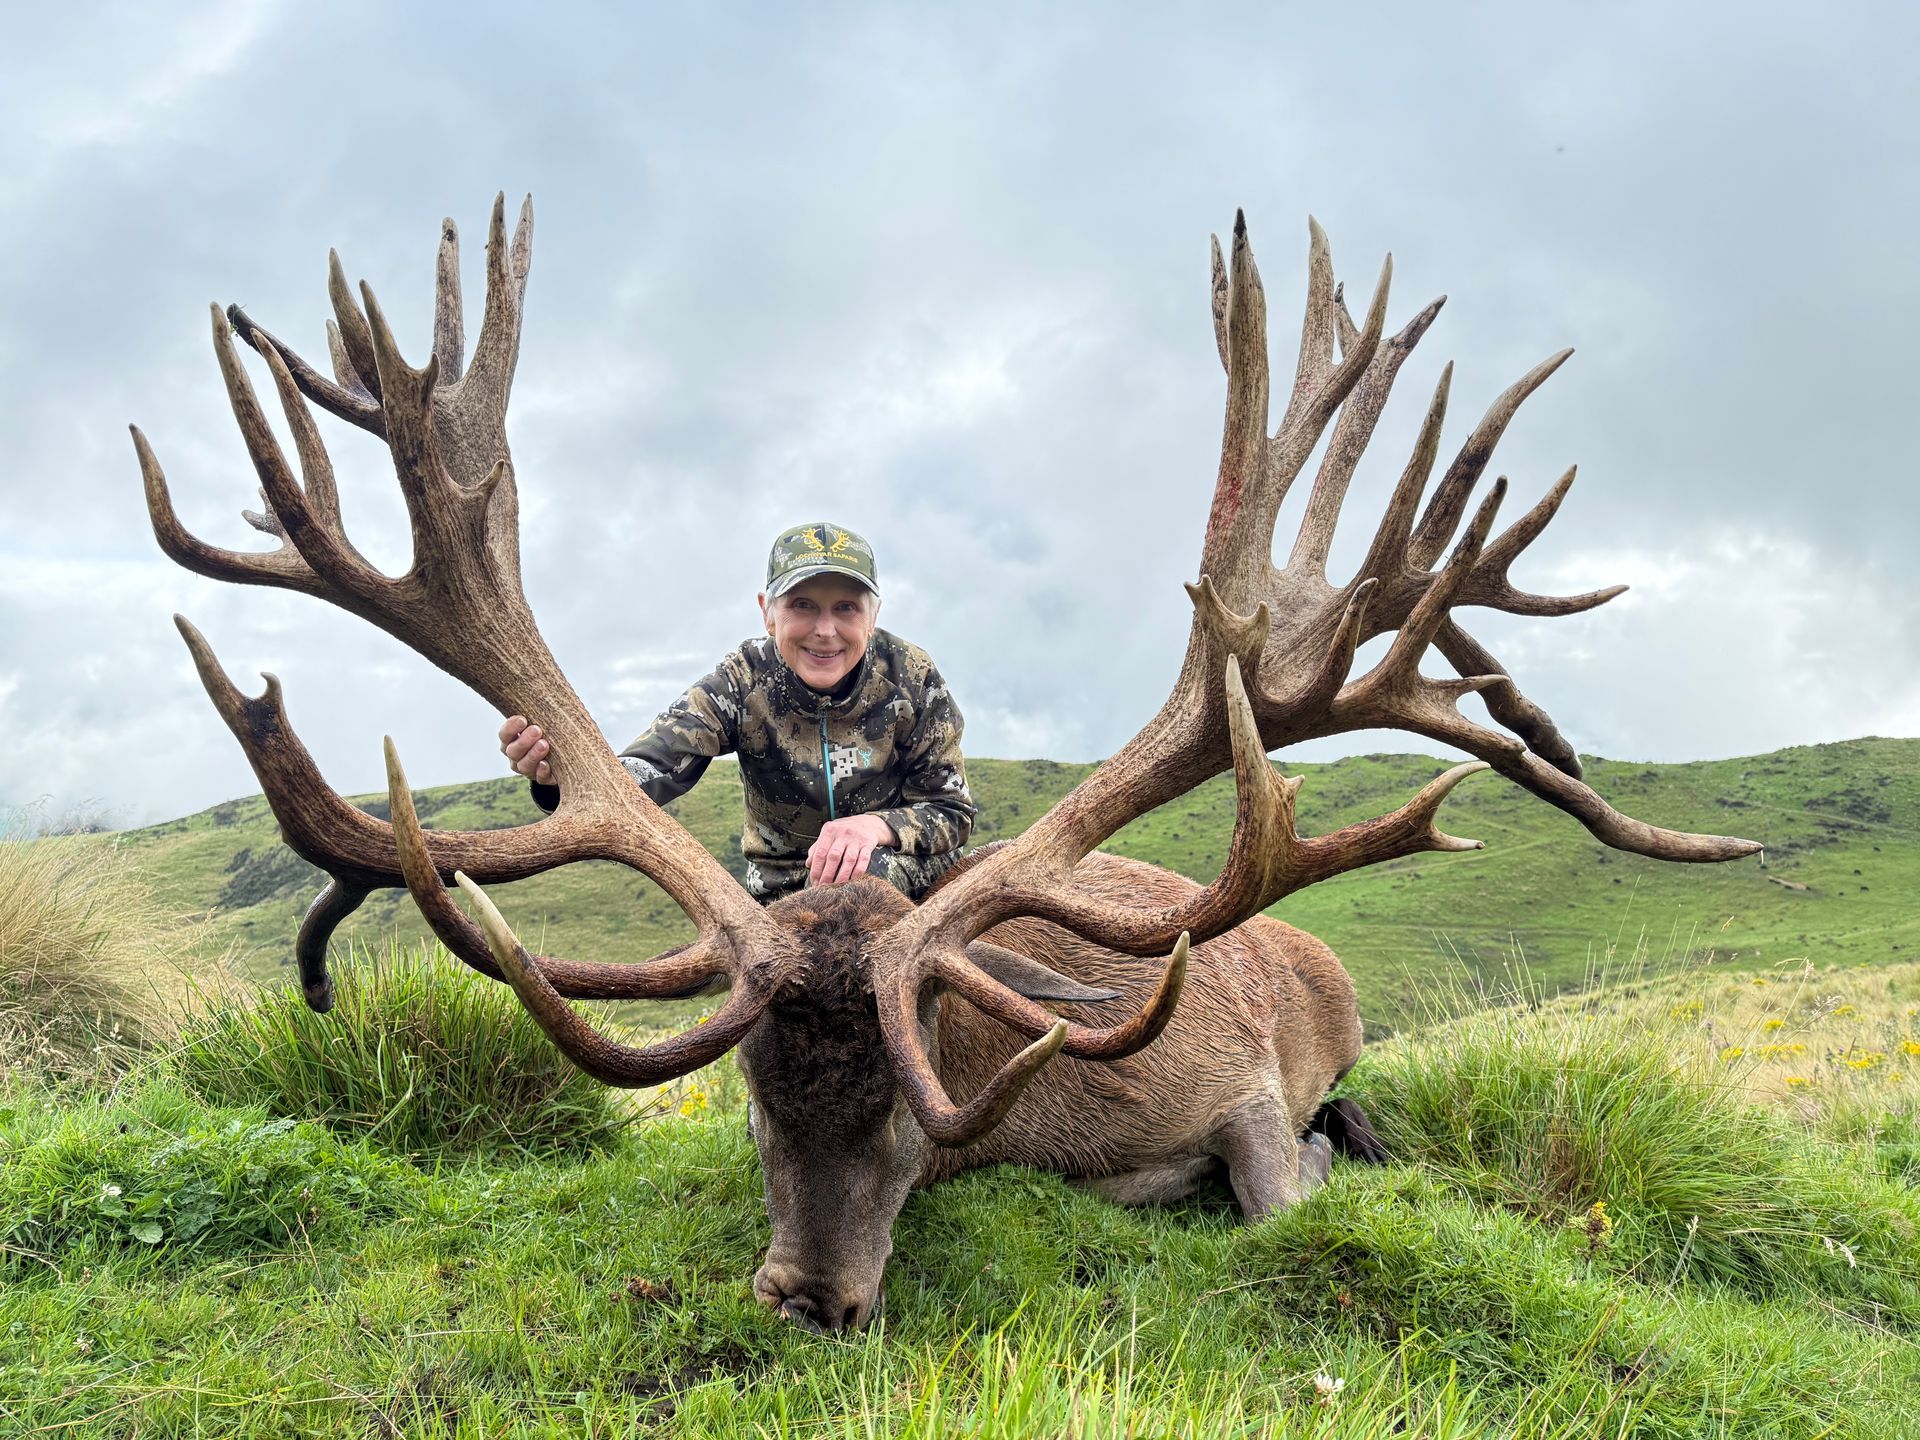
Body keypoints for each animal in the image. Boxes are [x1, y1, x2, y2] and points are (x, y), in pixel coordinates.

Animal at [138, 196, 1761, 1333]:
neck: (1039, 1119)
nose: (806, 1299)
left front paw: (1311, 1169)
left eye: (912, 1122)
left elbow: (1280, 1195)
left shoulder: (1242, 1086)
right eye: (751, 1103)